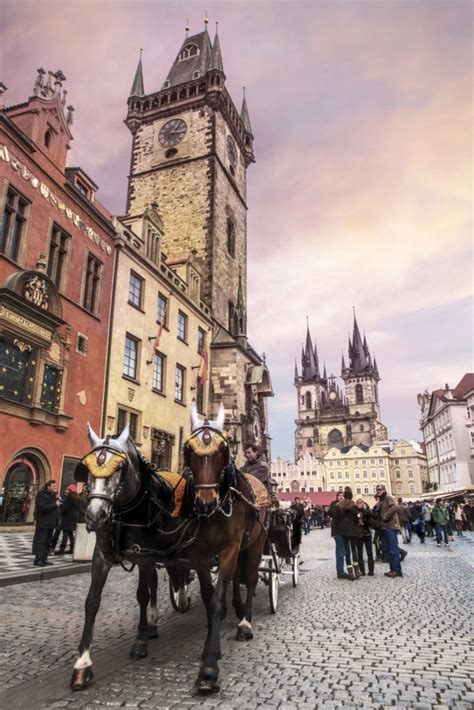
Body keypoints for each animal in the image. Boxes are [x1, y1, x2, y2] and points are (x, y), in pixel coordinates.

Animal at [183, 406, 268, 696]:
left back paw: (245, 623)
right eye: (188, 450)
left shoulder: (230, 548)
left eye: (223, 450)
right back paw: (239, 609)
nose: (205, 503)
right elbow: (210, 597)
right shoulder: (199, 555)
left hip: (254, 546)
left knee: (250, 579)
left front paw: (209, 670)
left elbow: (218, 600)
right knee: (236, 579)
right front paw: (210, 646)